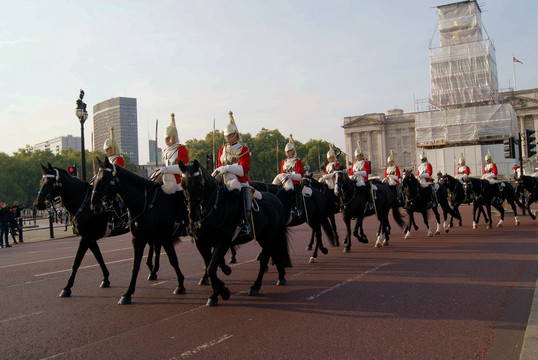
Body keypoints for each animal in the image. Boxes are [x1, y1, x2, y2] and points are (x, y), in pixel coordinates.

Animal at [34, 165, 129, 296]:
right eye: (40, 182)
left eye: (48, 182)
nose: (37, 204)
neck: (82, 203)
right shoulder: (90, 239)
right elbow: (99, 258)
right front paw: (105, 279)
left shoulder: (84, 238)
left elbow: (76, 262)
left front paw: (67, 288)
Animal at [89, 158, 187, 304]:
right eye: (94, 179)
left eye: (104, 178)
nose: (93, 206)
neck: (146, 203)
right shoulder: (138, 239)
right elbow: (135, 266)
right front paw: (127, 294)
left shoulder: (166, 238)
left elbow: (173, 260)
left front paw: (180, 284)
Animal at [179, 160, 288, 306]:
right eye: (182, 184)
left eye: (198, 184)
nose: (193, 215)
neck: (213, 207)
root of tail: (277, 200)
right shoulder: (201, 242)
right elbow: (210, 266)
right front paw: (216, 293)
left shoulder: (223, 241)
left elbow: (211, 268)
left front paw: (224, 292)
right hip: (262, 237)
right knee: (274, 253)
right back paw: (281, 277)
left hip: (269, 236)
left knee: (265, 259)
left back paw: (255, 287)